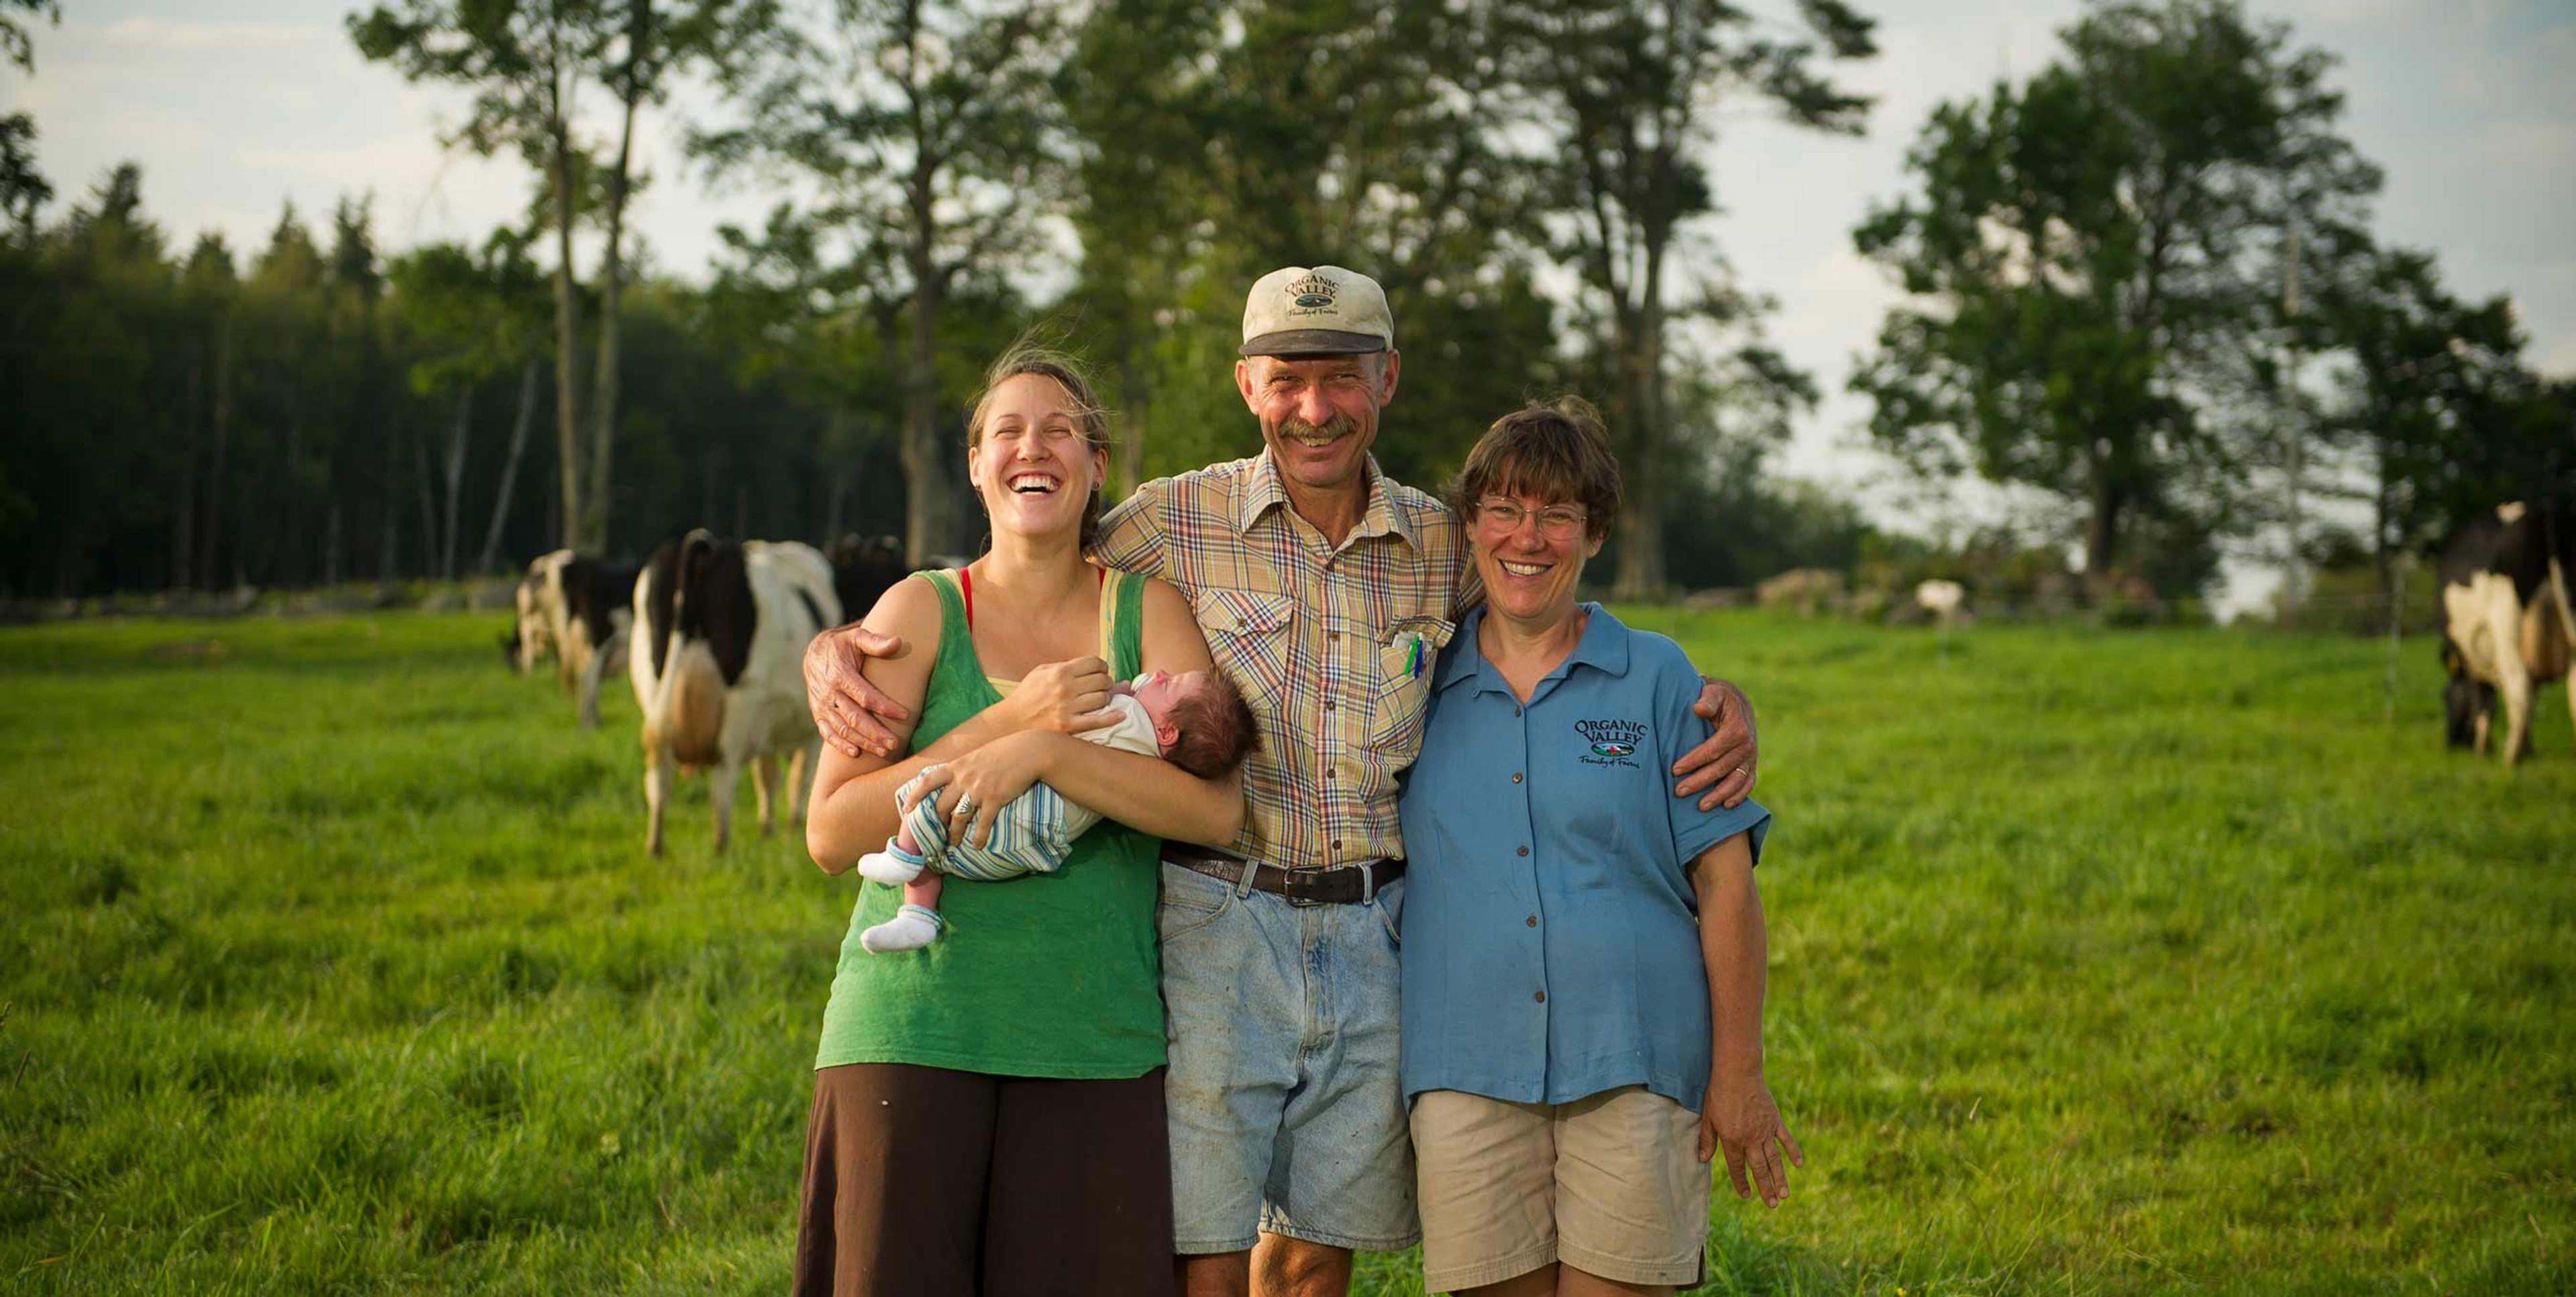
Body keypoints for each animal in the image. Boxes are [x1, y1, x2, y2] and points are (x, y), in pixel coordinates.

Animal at [628, 532, 839, 854]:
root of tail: (706, 547)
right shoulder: (812, 734)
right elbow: (799, 778)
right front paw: (791, 827)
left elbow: (768, 775)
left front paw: (769, 828)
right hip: (740, 702)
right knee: (723, 778)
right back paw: (721, 845)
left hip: (654, 688)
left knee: (658, 777)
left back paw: (656, 845)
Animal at [2431, 496, 2576, 761]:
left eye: (2446, 697)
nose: (2452, 742)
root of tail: (2546, 509)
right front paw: (2528, 748)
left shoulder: (2470, 657)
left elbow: (2484, 699)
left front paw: (2483, 748)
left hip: (2506, 620)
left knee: (2518, 682)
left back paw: (2510, 756)